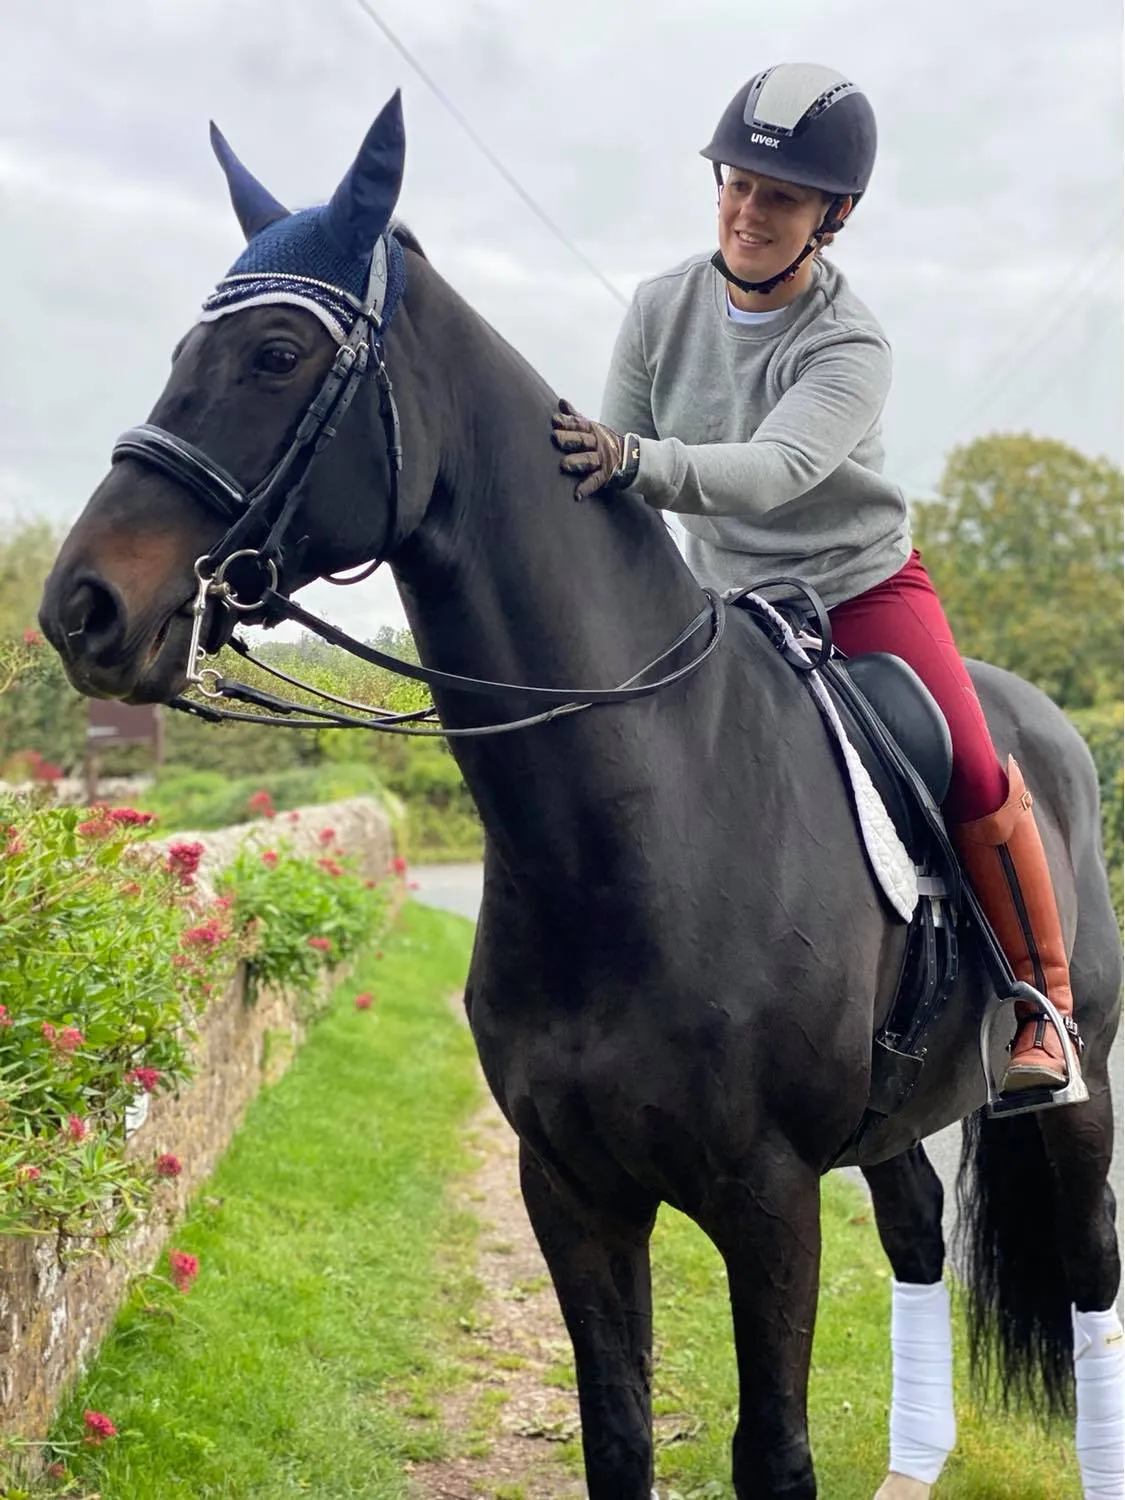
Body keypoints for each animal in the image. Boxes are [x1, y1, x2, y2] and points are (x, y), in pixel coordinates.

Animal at [37, 99, 1125, 1494]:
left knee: (1091, 1282)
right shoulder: (571, 1190)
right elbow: (615, 1435)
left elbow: (773, 1454)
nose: (83, 607)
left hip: (1076, 1095)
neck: (645, 815)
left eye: (278, 353)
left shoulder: (769, 1202)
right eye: (184, 347)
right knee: (923, 1234)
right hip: (890, 1131)